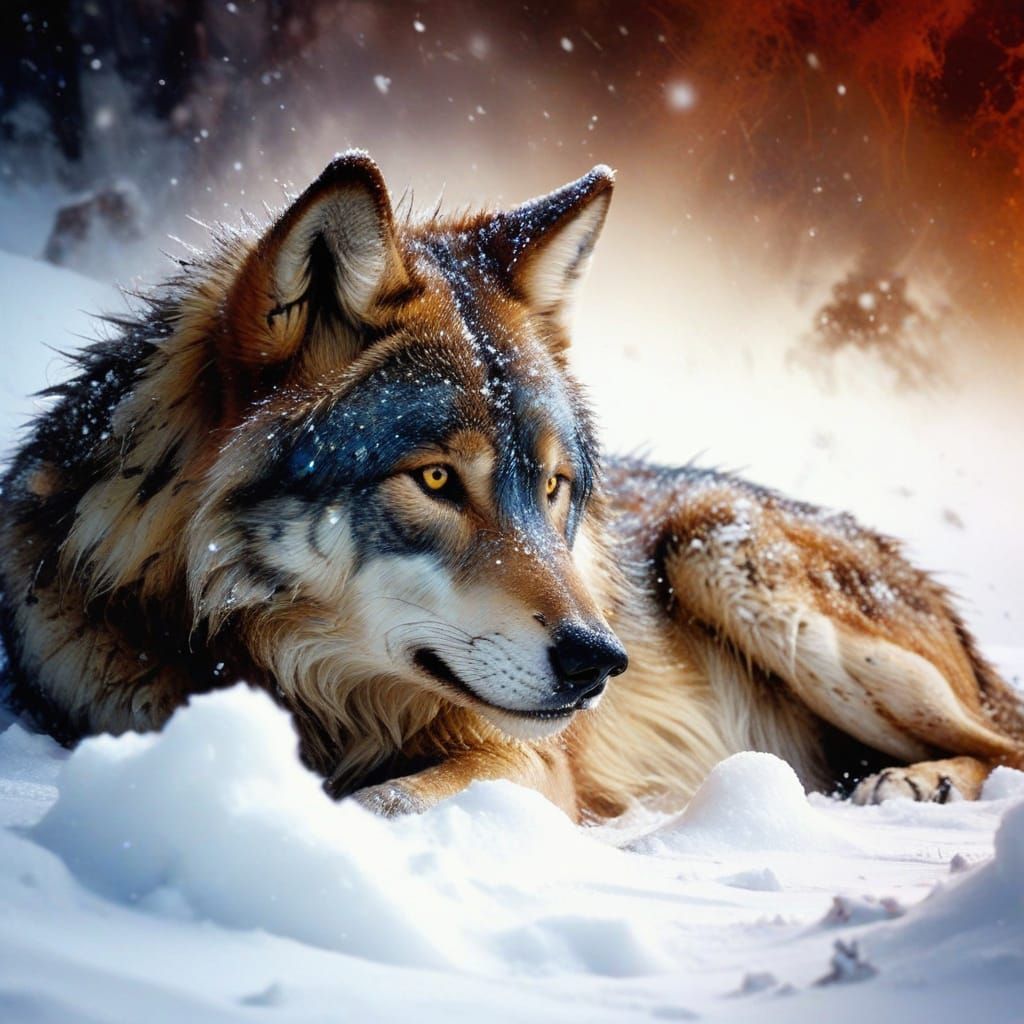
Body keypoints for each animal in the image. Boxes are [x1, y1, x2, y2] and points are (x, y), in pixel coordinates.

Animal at [1, 151, 1021, 820]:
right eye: (437, 478)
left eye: (557, 487)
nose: (601, 660)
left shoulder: (523, 764)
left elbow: (384, 804)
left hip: (727, 555)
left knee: (1002, 744)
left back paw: (920, 781)